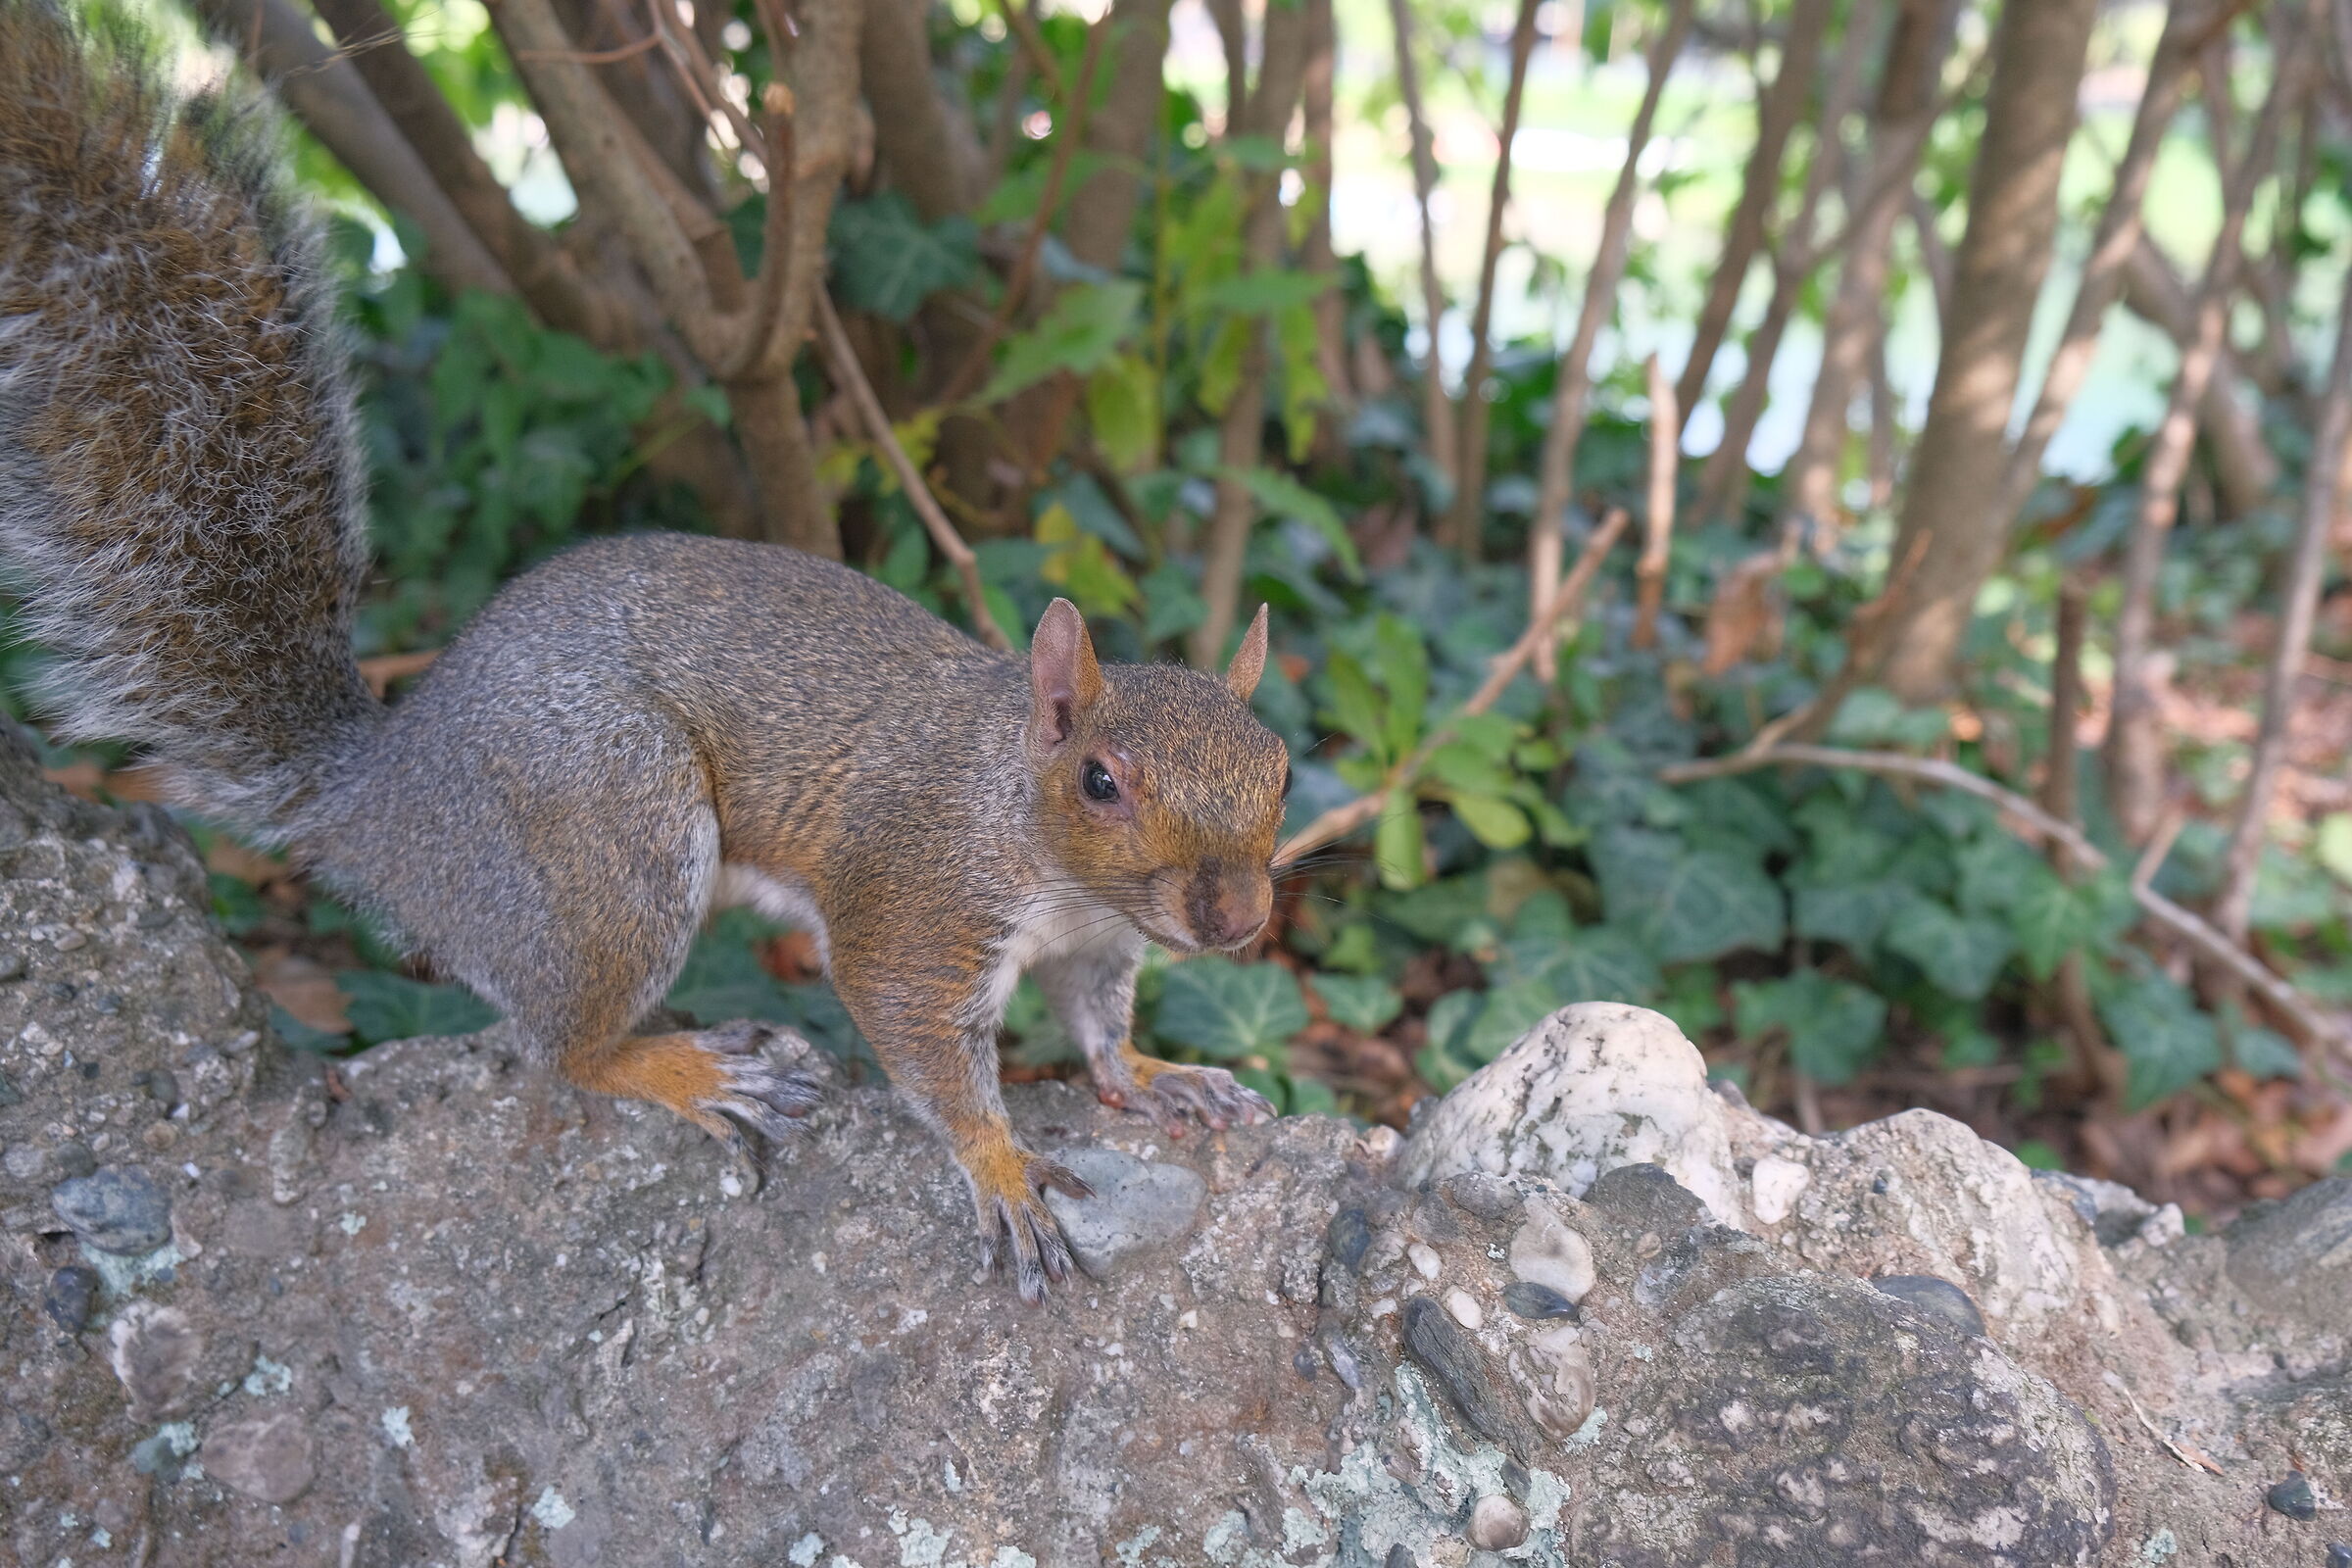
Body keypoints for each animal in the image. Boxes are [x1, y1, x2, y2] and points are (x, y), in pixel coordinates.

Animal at [0, 1, 1290, 1302]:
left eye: (1281, 771)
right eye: (1101, 782)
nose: (1236, 920)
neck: (1038, 841)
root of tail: (384, 796)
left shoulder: (1098, 944)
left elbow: (1100, 1028)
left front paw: (1159, 1074)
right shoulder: (919, 906)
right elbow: (916, 1036)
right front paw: (1006, 1165)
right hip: (615, 829)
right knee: (560, 1046)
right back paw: (689, 1066)